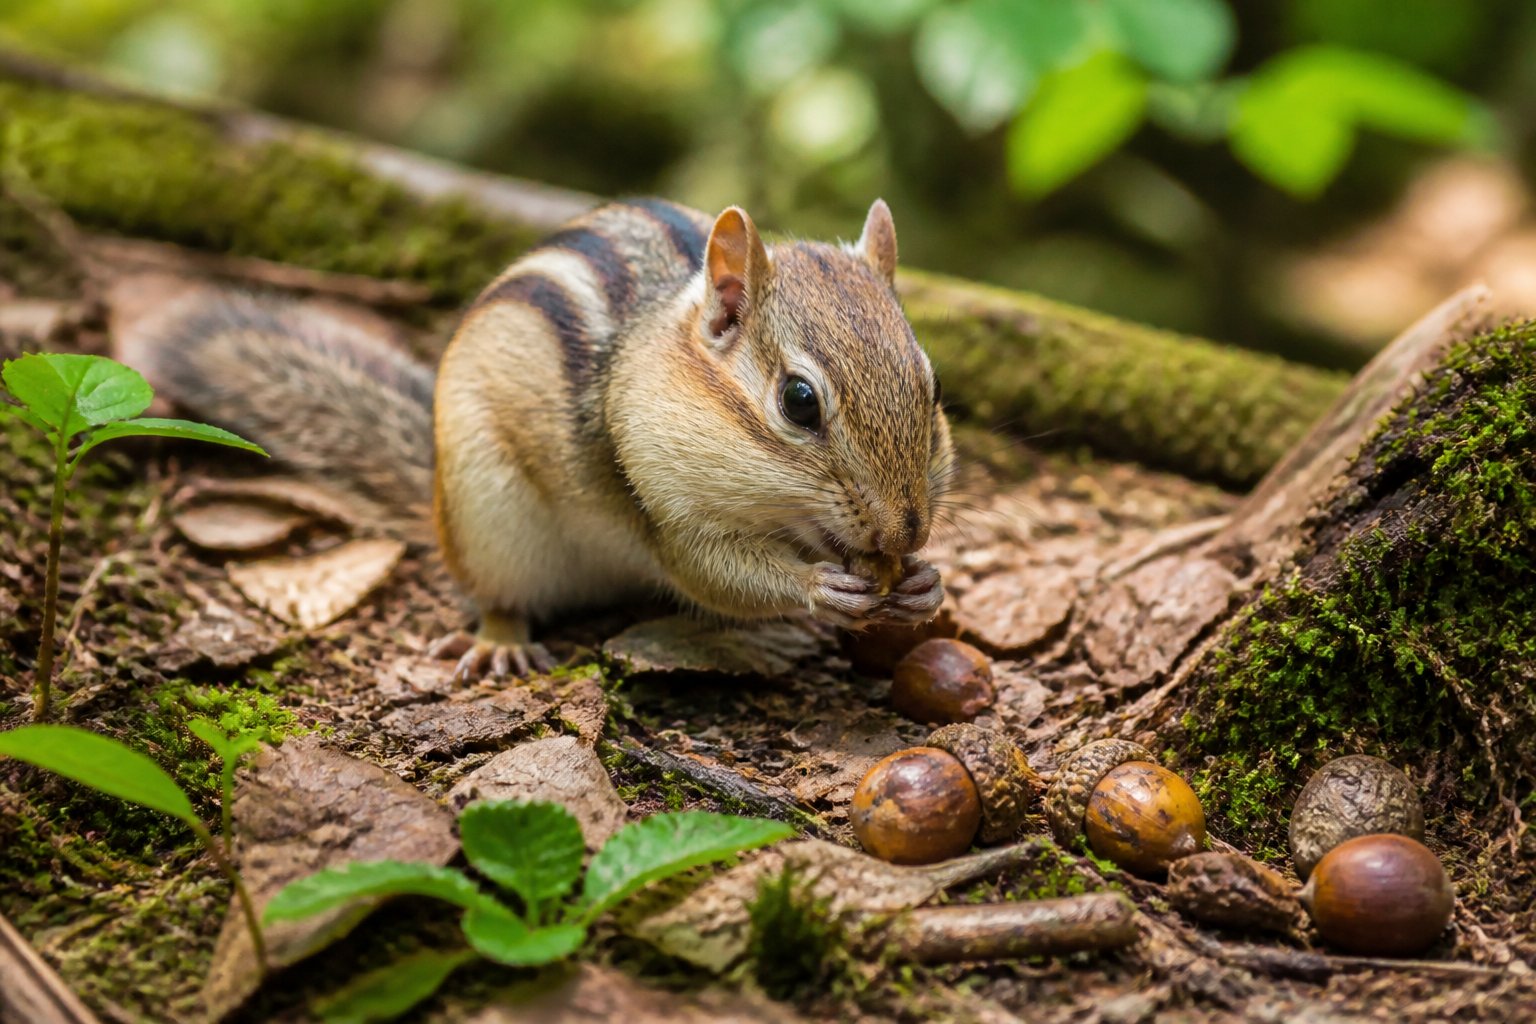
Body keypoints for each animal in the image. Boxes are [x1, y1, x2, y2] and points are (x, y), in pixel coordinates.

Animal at [128, 197, 955, 681]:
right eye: (799, 402)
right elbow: (709, 571)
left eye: (933, 384)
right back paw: (501, 639)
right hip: (487, 515)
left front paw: (922, 583)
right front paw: (818, 588)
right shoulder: (661, 501)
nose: (905, 530)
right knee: (501, 591)